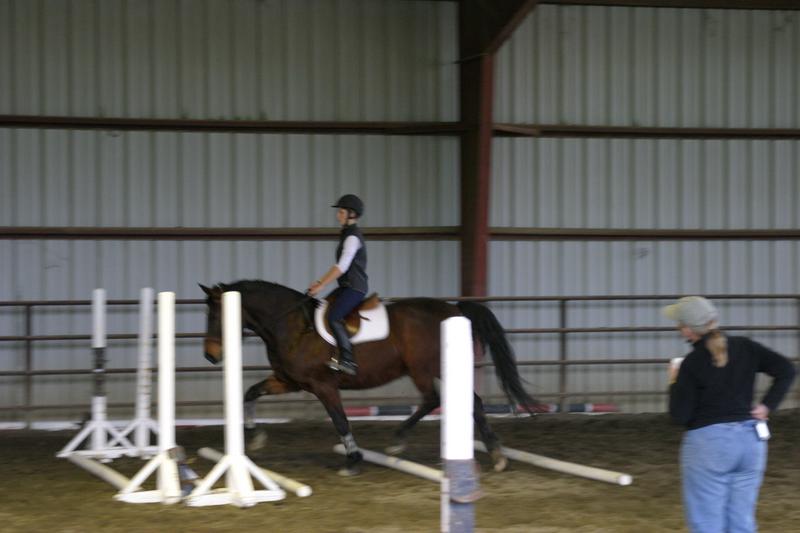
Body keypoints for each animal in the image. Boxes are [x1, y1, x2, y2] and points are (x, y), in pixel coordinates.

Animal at [200, 280, 535, 475]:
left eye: (217, 315)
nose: (211, 356)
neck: (292, 325)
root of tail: (453, 309)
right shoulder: (289, 381)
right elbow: (251, 392)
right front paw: (255, 437)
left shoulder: (323, 385)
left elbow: (340, 420)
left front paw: (353, 459)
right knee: (470, 401)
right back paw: (496, 454)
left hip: (423, 368)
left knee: (433, 399)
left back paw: (399, 440)